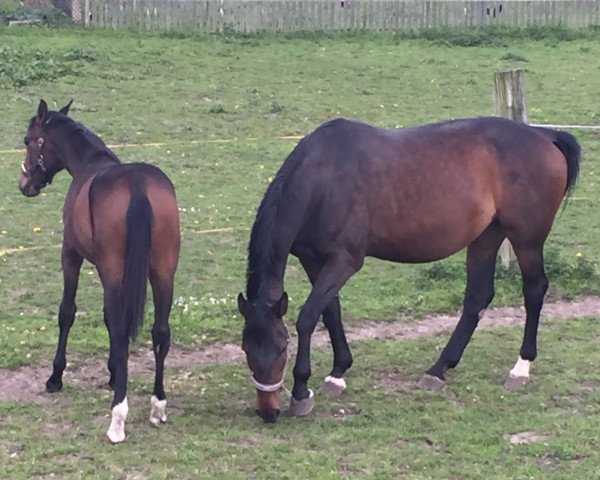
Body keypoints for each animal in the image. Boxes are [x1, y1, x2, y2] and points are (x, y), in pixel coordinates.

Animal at [17, 101, 179, 442]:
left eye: (28, 140)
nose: (25, 185)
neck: (90, 165)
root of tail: (137, 186)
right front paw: (113, 373)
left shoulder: (71, 254)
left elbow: (68, 312)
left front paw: (56, 376)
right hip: (163, 272)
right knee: (161, 331)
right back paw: (157, 405)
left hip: (113, 269)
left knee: (119, 329)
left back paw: (118, 417)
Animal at [237, 114, 580, 422]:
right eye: (245, 349)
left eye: (282, 348)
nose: (268, 411)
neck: (323, 178)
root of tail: (545, 136)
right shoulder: (313, 259)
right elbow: (330, 311)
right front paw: (338, 373)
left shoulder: (344, 261)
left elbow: (308, 317)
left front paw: (301, 393)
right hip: (486, 237)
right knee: (478, 297)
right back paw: (438, 370)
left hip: (526, 239)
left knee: (534, 290)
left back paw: (520, 369)